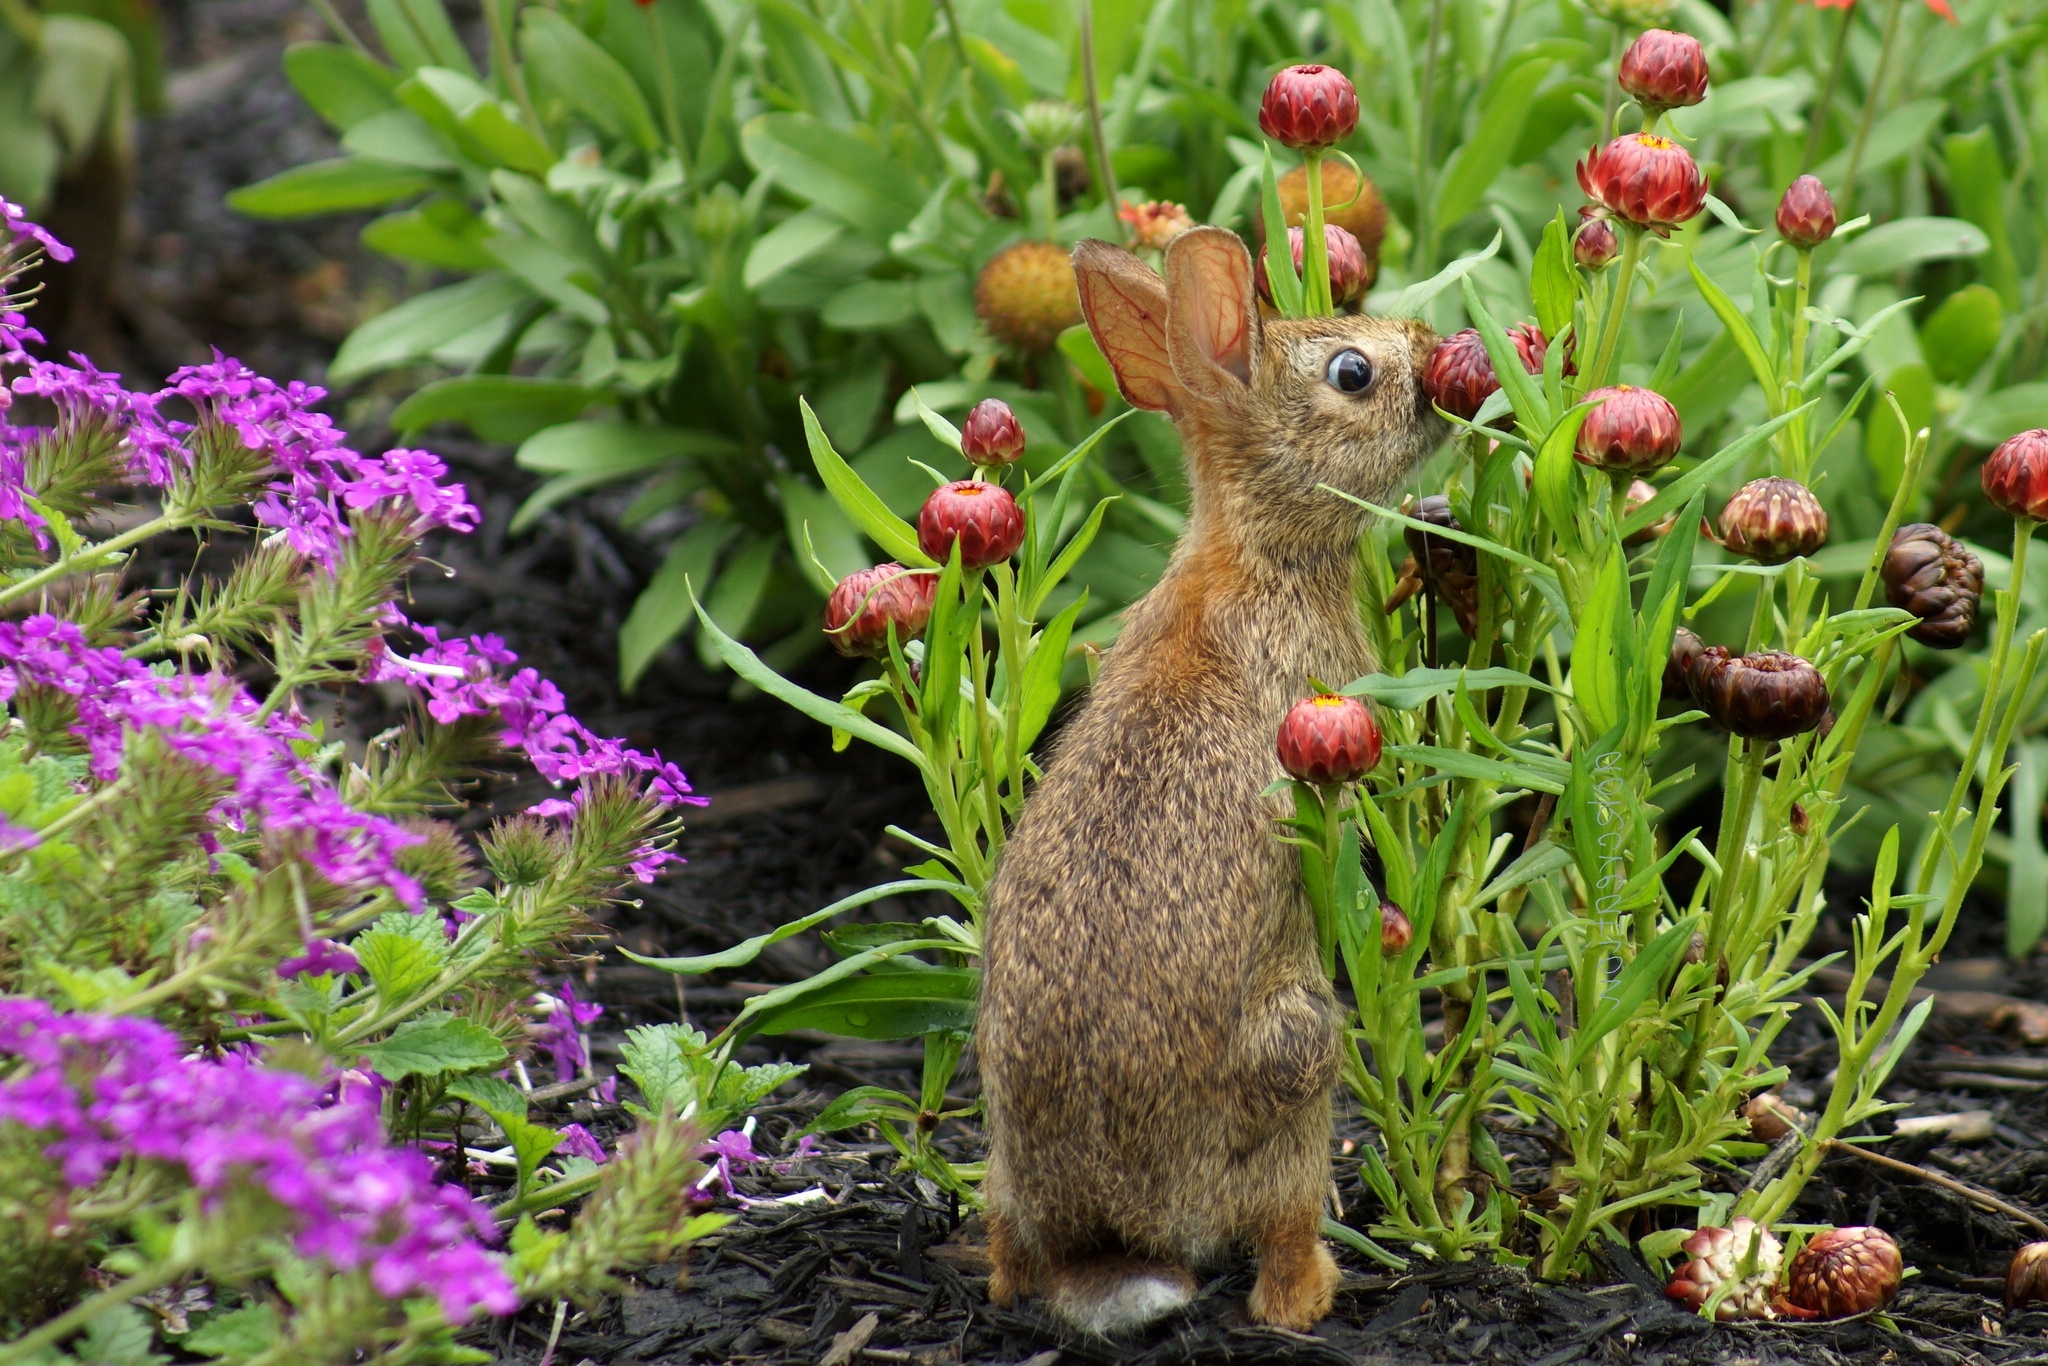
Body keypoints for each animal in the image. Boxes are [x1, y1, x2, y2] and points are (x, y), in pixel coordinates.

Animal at [970, 227, 1441, 1335]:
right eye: (1351, 374)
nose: (1436, 355)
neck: (1257, 551)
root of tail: (1110, 1236)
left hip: (1002, 1158)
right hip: (1301, 1057)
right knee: (1279, 1243)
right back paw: (1320, 1287)